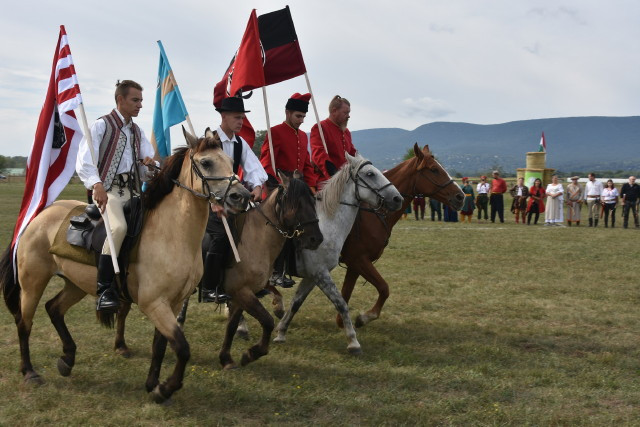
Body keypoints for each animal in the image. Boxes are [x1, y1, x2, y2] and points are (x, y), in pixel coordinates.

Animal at [0, 129, 250, 402]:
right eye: (206, 162)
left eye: (230, 160)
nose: (242, 196)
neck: (172, 233)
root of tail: (40, 215)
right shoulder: (154, 304)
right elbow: (182, 348)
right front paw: (165, 389)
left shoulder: (172, 304)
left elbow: (160, 345)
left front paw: (153, 385)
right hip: (32, 283)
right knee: (24, 323)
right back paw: (30, 372)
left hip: (75, 284)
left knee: (54, 308)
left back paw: (67, 359)